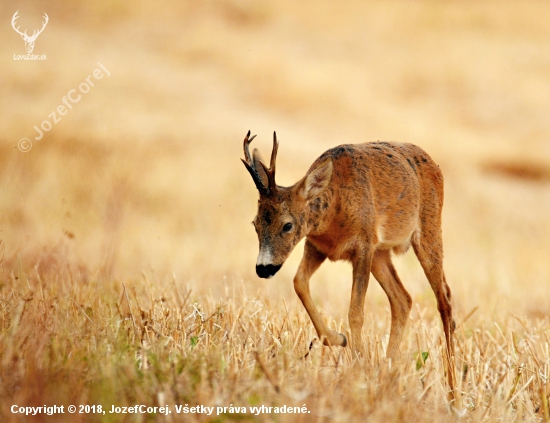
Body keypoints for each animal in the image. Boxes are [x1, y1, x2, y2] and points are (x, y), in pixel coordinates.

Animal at [242, 131, 458, 390]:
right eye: (255, 224)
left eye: (287, 225)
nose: (263, 269)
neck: (334, 211)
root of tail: (434, 165)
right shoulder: (317, 246)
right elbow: (299, 282)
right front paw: (337, 339)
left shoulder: (363, 246)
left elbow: (356, 312)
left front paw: (357, 366)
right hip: (381, 254)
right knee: (403, 299)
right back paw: (386, 373)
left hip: (428, 229)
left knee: (444, 300)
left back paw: (453, 387)